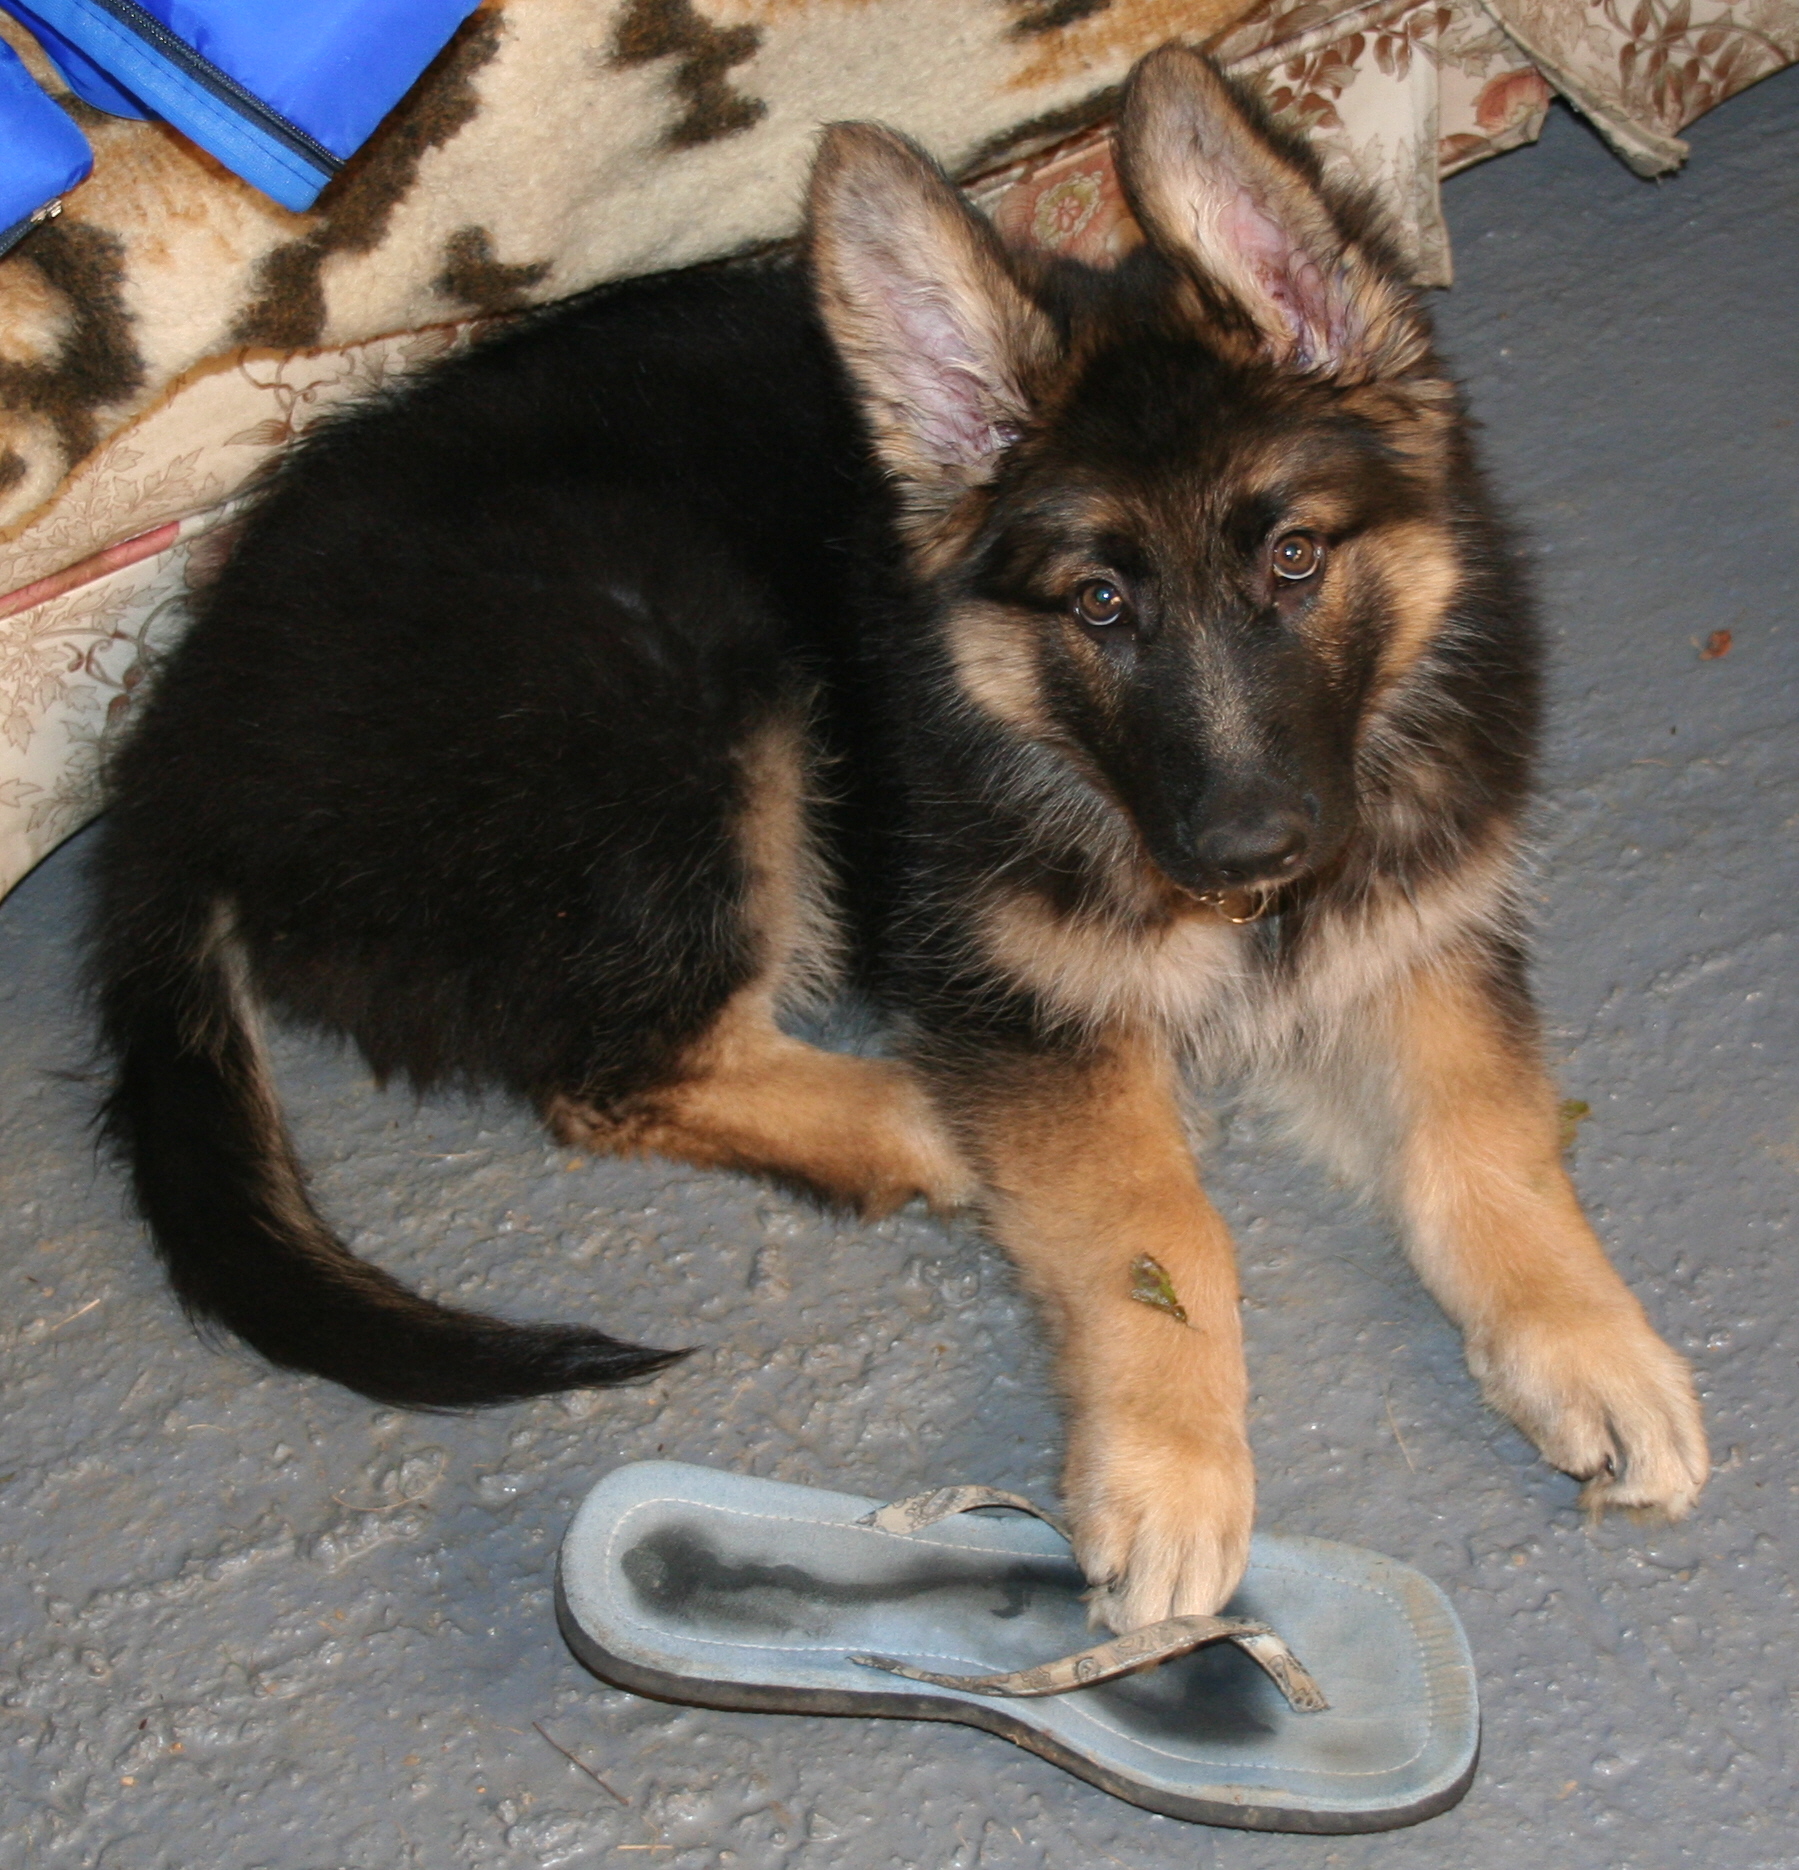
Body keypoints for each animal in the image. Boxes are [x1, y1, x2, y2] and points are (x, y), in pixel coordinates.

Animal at [94, 51, 1698, 1638]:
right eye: (1097, 605)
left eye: (1294, 559)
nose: (1246, 852)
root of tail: (174, 750)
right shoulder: (1030, 1003)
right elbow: (1155, 1226)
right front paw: (1171, 1468)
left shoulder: (1416, 932)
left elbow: (1484, 1141)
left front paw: (1588, 1342)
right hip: (691, 678)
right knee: (613, 1072)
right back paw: (914, 1118)